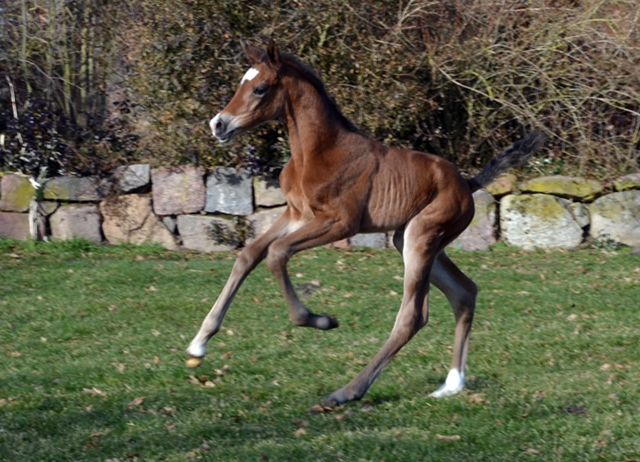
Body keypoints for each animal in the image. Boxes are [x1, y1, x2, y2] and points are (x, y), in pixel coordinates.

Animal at [186, 41, 544, 406]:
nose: (218, 124)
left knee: (413, 316)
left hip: (421, 238)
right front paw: (199, 343)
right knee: (464, 292)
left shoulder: (340, 223)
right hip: (411, 239)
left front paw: (320, 320)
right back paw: (452, 384)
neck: (317, 152)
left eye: (259, 88)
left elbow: (276, 253)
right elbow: (250, 254)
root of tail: (467, 183)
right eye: (241, 83)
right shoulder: (296, 215)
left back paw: (347, 391)